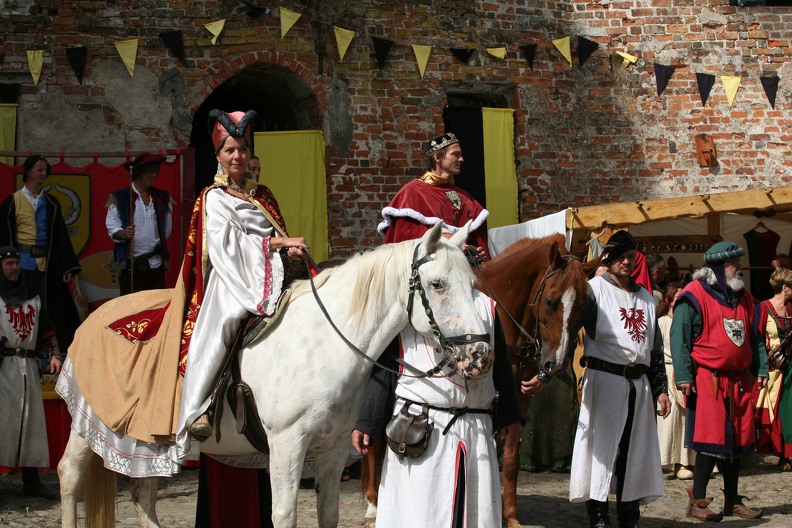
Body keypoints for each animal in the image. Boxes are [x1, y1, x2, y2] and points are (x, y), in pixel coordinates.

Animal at [57, 223, 488, 528]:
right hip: (90, 424)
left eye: (473, 283)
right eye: (437, 284)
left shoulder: (332, 450)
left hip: (147, 443)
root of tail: (93, 316)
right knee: (70, 476)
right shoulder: (287, 445)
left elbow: (328, 515)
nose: (480, 354)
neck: (323, 342)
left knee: (142, 494)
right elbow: (284, 515)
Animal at [362, 235, 596, 528]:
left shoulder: (517, 402)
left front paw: (510, 516)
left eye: (583, 306)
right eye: (551, 301)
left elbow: (510, 457)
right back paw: (373, 506)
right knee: (373, 441)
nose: (554, 364)